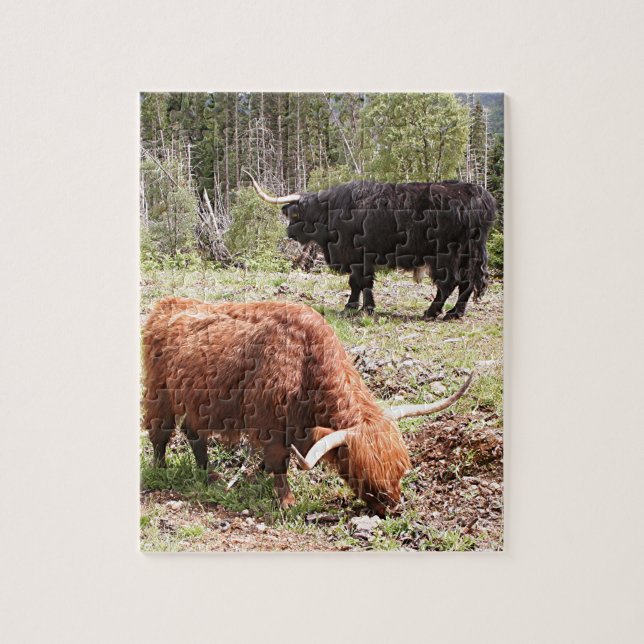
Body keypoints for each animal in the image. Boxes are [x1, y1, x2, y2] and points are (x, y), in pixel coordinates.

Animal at [142, 297, 473, 515]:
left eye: (400, 469)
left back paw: (208, 475)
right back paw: (162, 469)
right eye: (360, 472)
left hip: (199, 402)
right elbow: (279, 461)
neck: (307, 363)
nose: (391, 507)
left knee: (193, 432)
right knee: (161, 432)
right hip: (160, 391)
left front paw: (258, 476)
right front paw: (286, 501)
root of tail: (167, 304)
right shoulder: (271, 424)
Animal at [246, 172, 496, 320]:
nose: (288, 232)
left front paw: (360, 307)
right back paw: (455, 312)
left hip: (447, 254)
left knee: (449, 282)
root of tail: (478, 195)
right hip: (470, 254)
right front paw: (357, 306)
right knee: (467, 283)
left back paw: (432, 311)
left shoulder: (358, 255)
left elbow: (360, 282)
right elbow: (358, 283)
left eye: (297, 215)